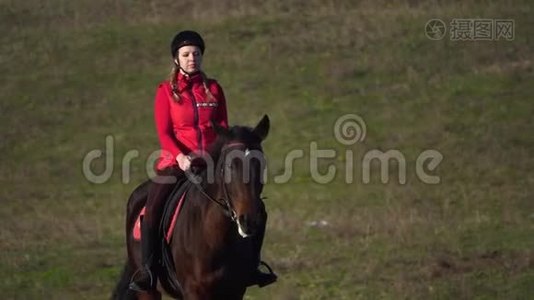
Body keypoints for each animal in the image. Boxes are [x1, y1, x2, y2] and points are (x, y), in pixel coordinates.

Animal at [112, 115, 272, 300]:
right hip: (147, 291)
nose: (250, 221)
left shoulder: (235, 291)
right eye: (229, 166)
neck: (215, 237)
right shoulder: (194, 291)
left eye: (261, 164)